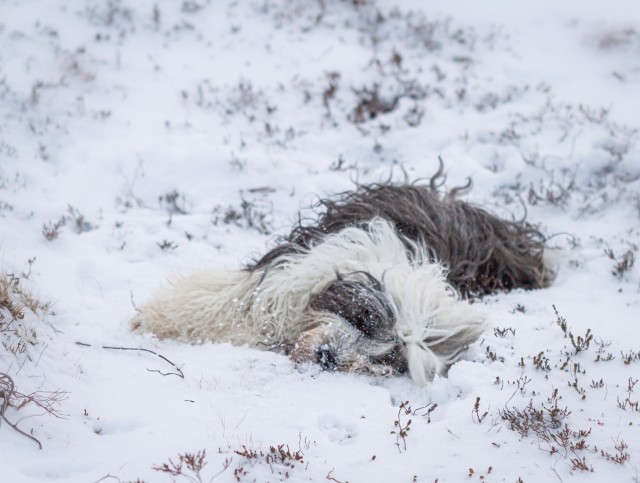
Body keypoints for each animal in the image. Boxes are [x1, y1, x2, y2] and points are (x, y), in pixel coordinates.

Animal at [130, 166, 552, 386]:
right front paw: (153, 319)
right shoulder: (283, 278)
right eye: (365, 318)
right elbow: (219, 302)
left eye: (390, 358)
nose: (328, 356)